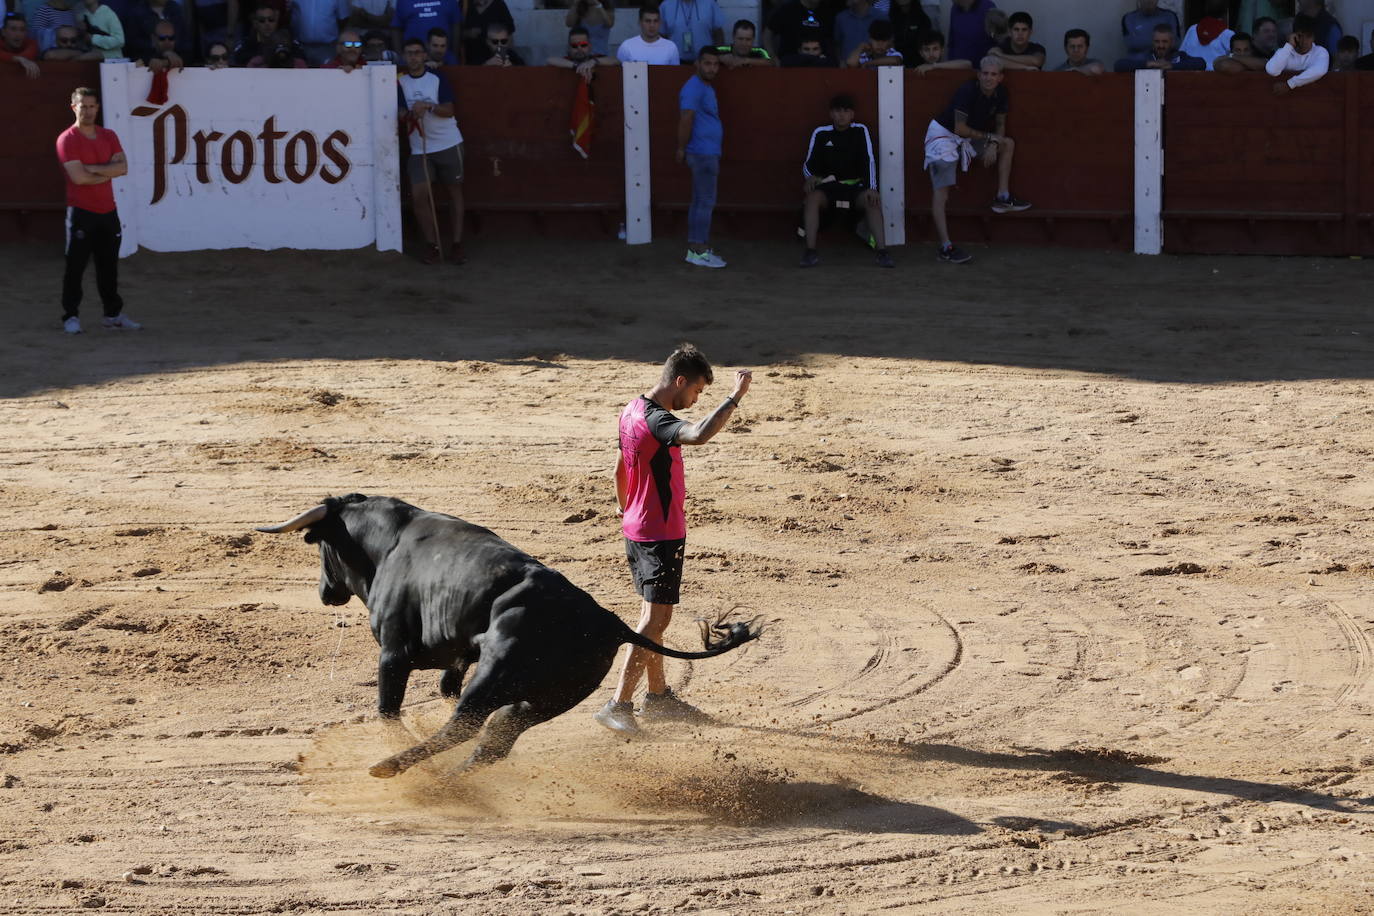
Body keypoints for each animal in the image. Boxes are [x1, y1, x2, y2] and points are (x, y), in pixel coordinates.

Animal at [258, 497, 763, 780]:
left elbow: (389, 711)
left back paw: (394, 769)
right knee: (496, 737)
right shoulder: (457, 659)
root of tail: (606, 621)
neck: (391, 543)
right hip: (550, 698)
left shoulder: (393, 655)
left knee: (467, 725)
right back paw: (449, 781)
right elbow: (444, 686)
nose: (325, 593)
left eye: (322, 546)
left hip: (497, 676)